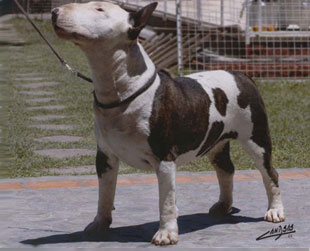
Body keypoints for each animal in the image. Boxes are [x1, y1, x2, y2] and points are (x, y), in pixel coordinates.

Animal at [52, 0, 284, 246]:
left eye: (99, 9)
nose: (55, 12)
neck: (120, 91)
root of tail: (243, 76)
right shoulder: (105, 157)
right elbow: (104, 195)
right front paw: (99, 225)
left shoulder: (164, 157)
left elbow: (166, 200)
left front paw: (166, 234)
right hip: (217, 141)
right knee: (226, 169)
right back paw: (223, 206)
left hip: (256, 137)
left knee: (269, 172)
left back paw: (275, 211)